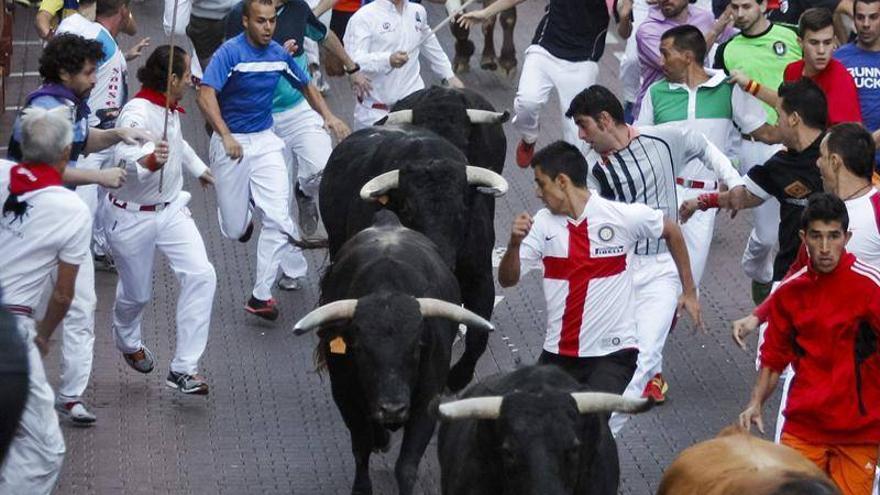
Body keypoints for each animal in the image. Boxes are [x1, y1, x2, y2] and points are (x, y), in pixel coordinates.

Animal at [292, 211, 492, 494]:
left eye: (416, 346)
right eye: (360, 349)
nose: (392, 409)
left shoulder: (426, 402)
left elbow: (407, 465)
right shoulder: (345, 396)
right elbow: (361, 446)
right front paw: (362, 486)